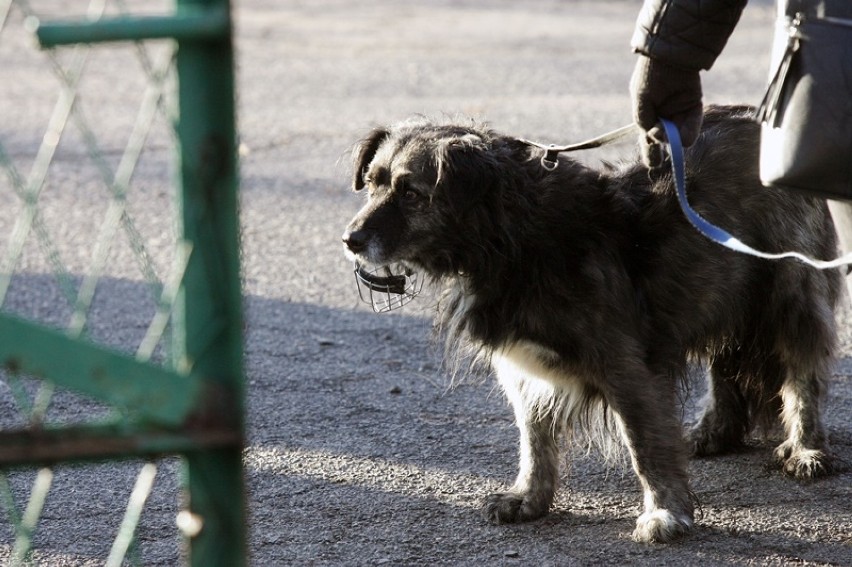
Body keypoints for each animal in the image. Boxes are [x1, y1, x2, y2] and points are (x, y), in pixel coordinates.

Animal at [342, 104, 840, 544]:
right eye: (372, 183)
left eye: (411, 192)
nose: (350, 240)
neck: (509, 236)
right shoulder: (523, 365)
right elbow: (533, 438)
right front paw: (529, 497)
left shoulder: (626, 366)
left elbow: (644, 446)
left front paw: (665, 512)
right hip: (719, 291)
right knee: (726, 362)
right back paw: (715, 431)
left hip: (789, 293)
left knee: (802, 373)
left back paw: (806, 448)